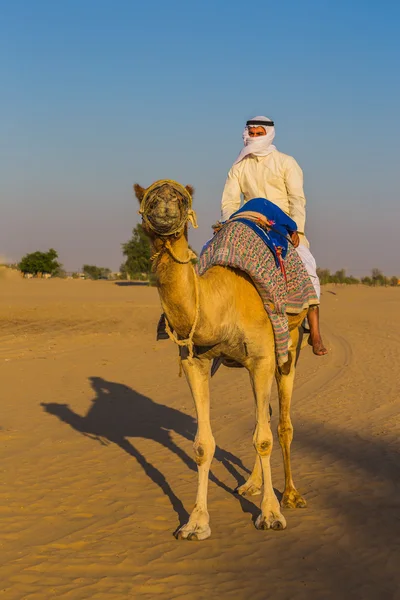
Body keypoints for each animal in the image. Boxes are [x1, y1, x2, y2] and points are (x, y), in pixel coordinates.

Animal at [136, 178, 308, 540]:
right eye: (148, 199)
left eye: (181, 199)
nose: (165, 207)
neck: (220, 300)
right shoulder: (195, 362)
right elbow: (203, 444)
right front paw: (195, 522)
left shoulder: (263, 357)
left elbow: (265, 439)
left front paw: (270, 514)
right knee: (263, 416)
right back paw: (251, 485)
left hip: (290, 348)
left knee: (282, 424)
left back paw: (291, 495)